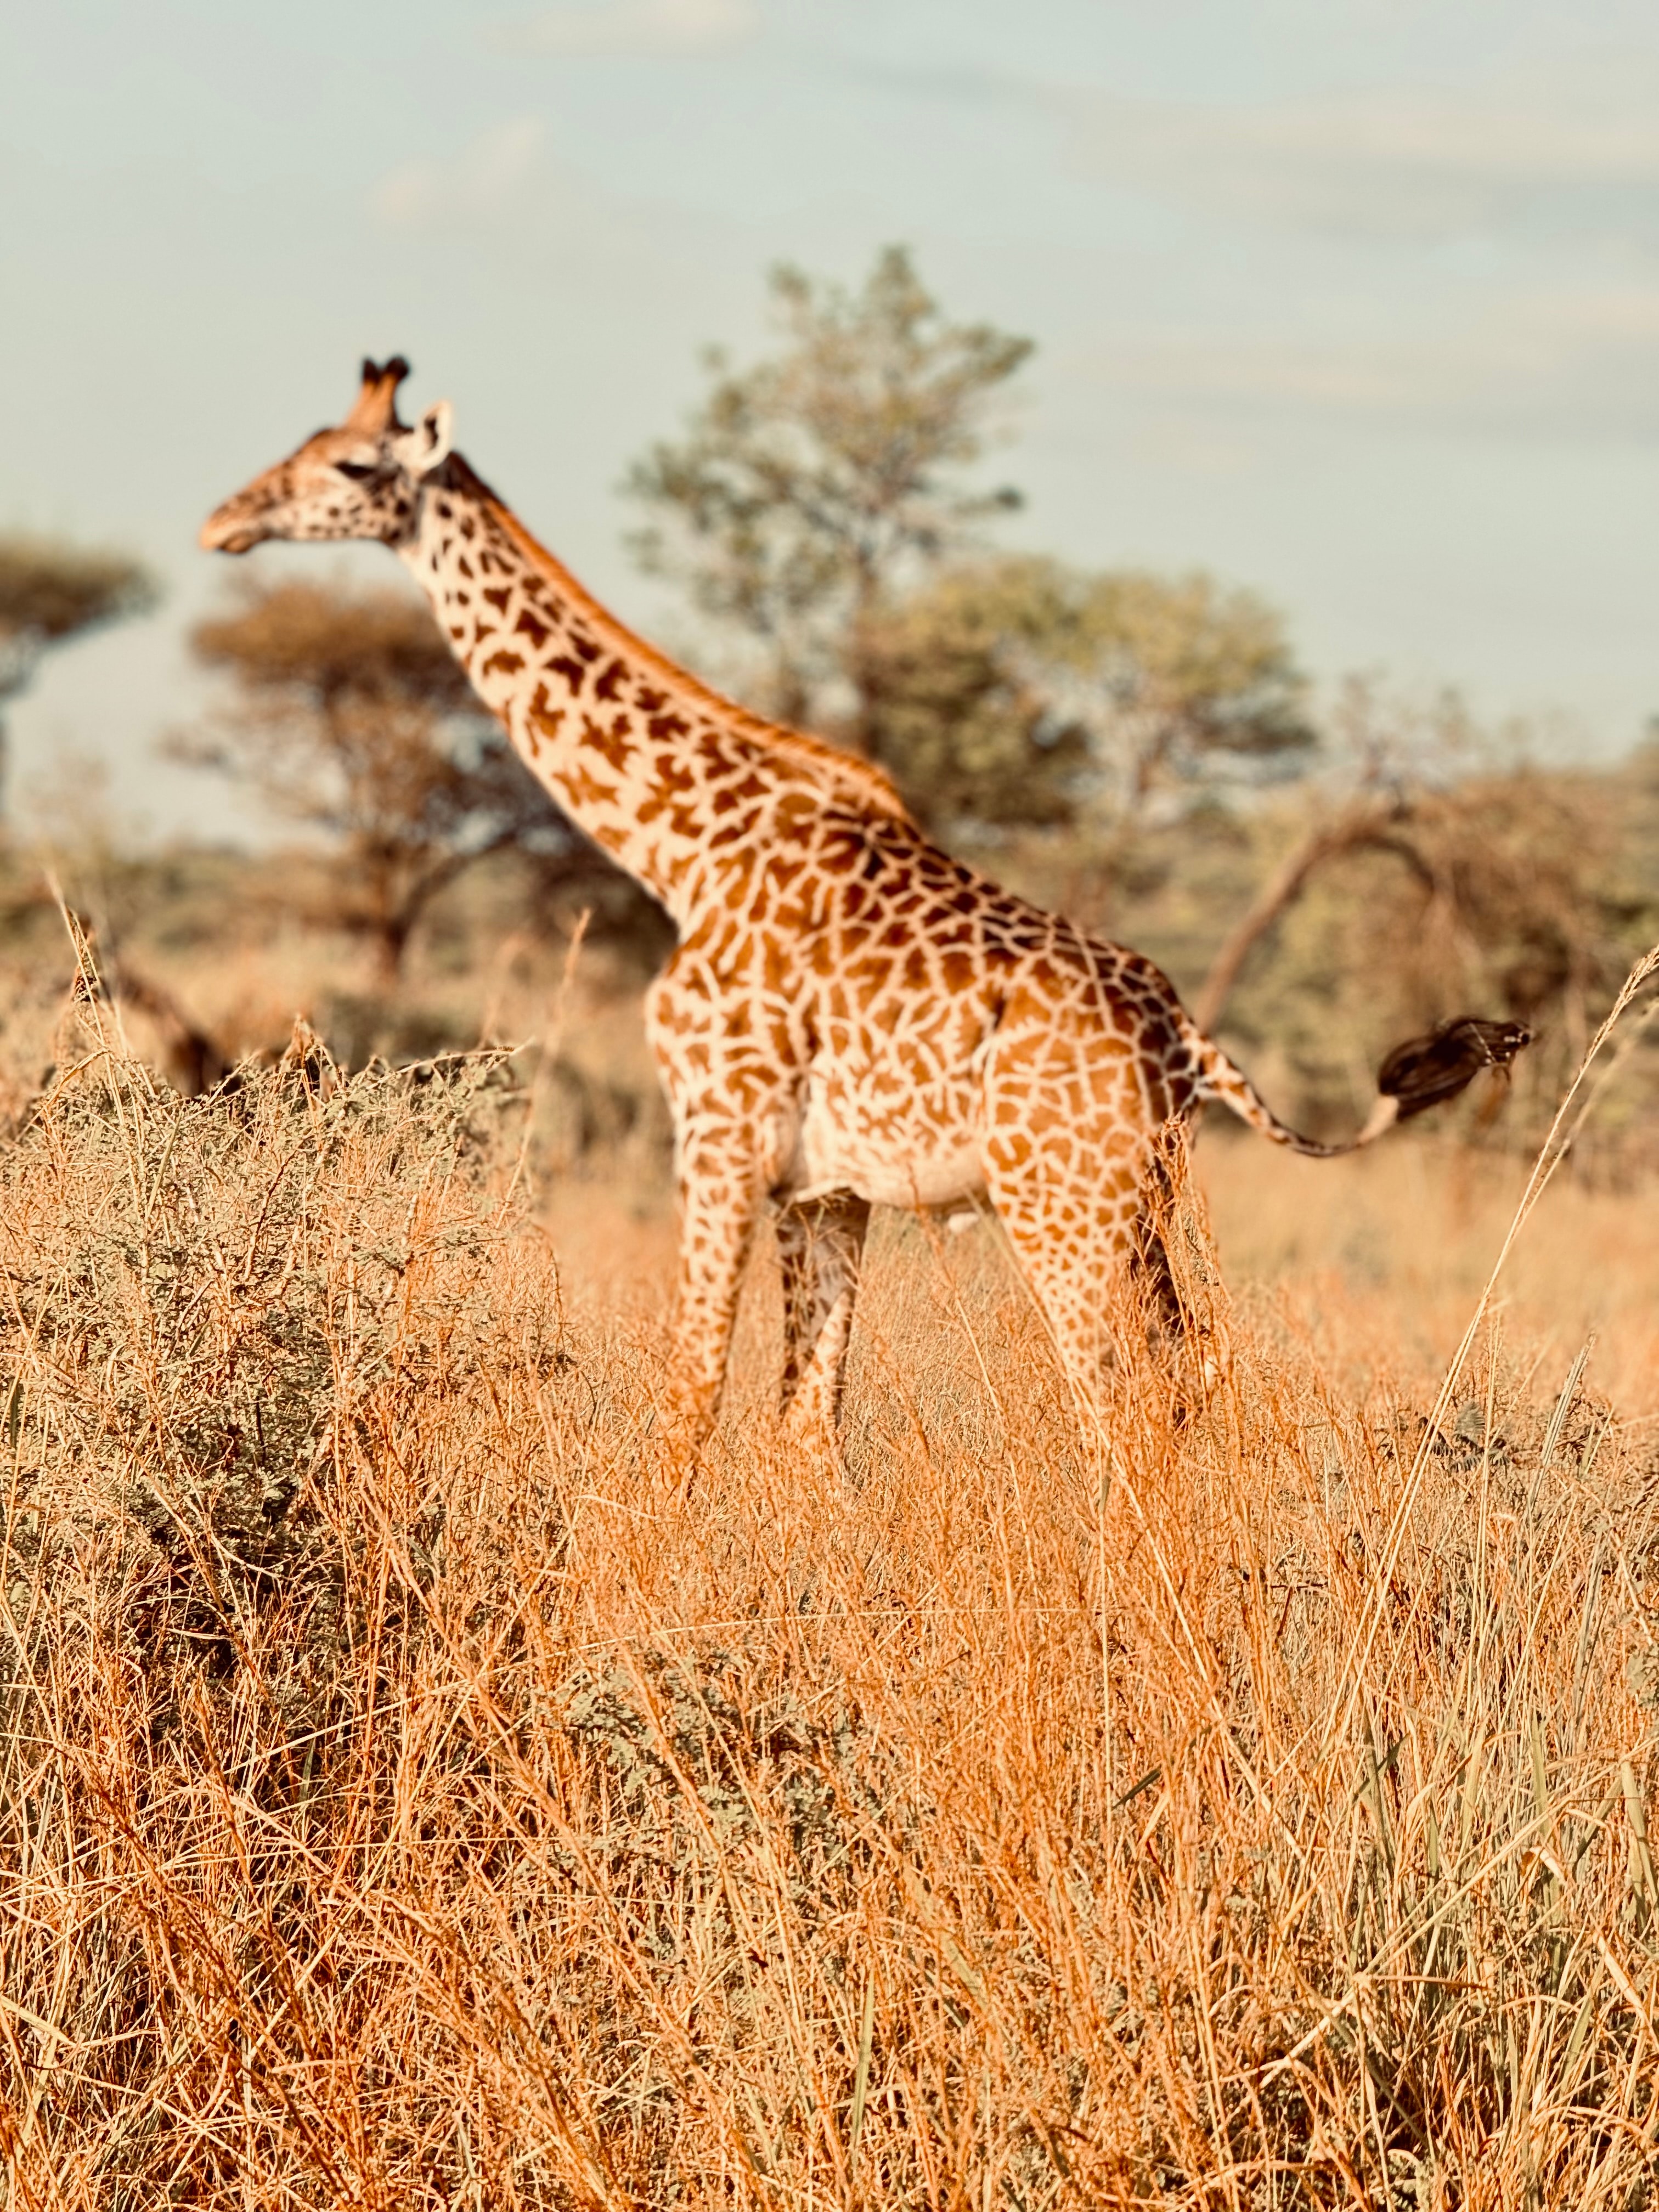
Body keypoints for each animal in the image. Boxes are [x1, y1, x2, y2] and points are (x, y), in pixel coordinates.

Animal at [198, 358, 1531, 1433]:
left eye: (348, 464)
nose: (222, 517)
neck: (682, 843)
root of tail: (1188, 1041)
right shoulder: (827, 1185)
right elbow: (803, 1424)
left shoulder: (717, 1130)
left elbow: (691, 1392)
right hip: (1138, 1200)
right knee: (1194, 1371)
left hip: (1063, 1205)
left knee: (1124, 1403)